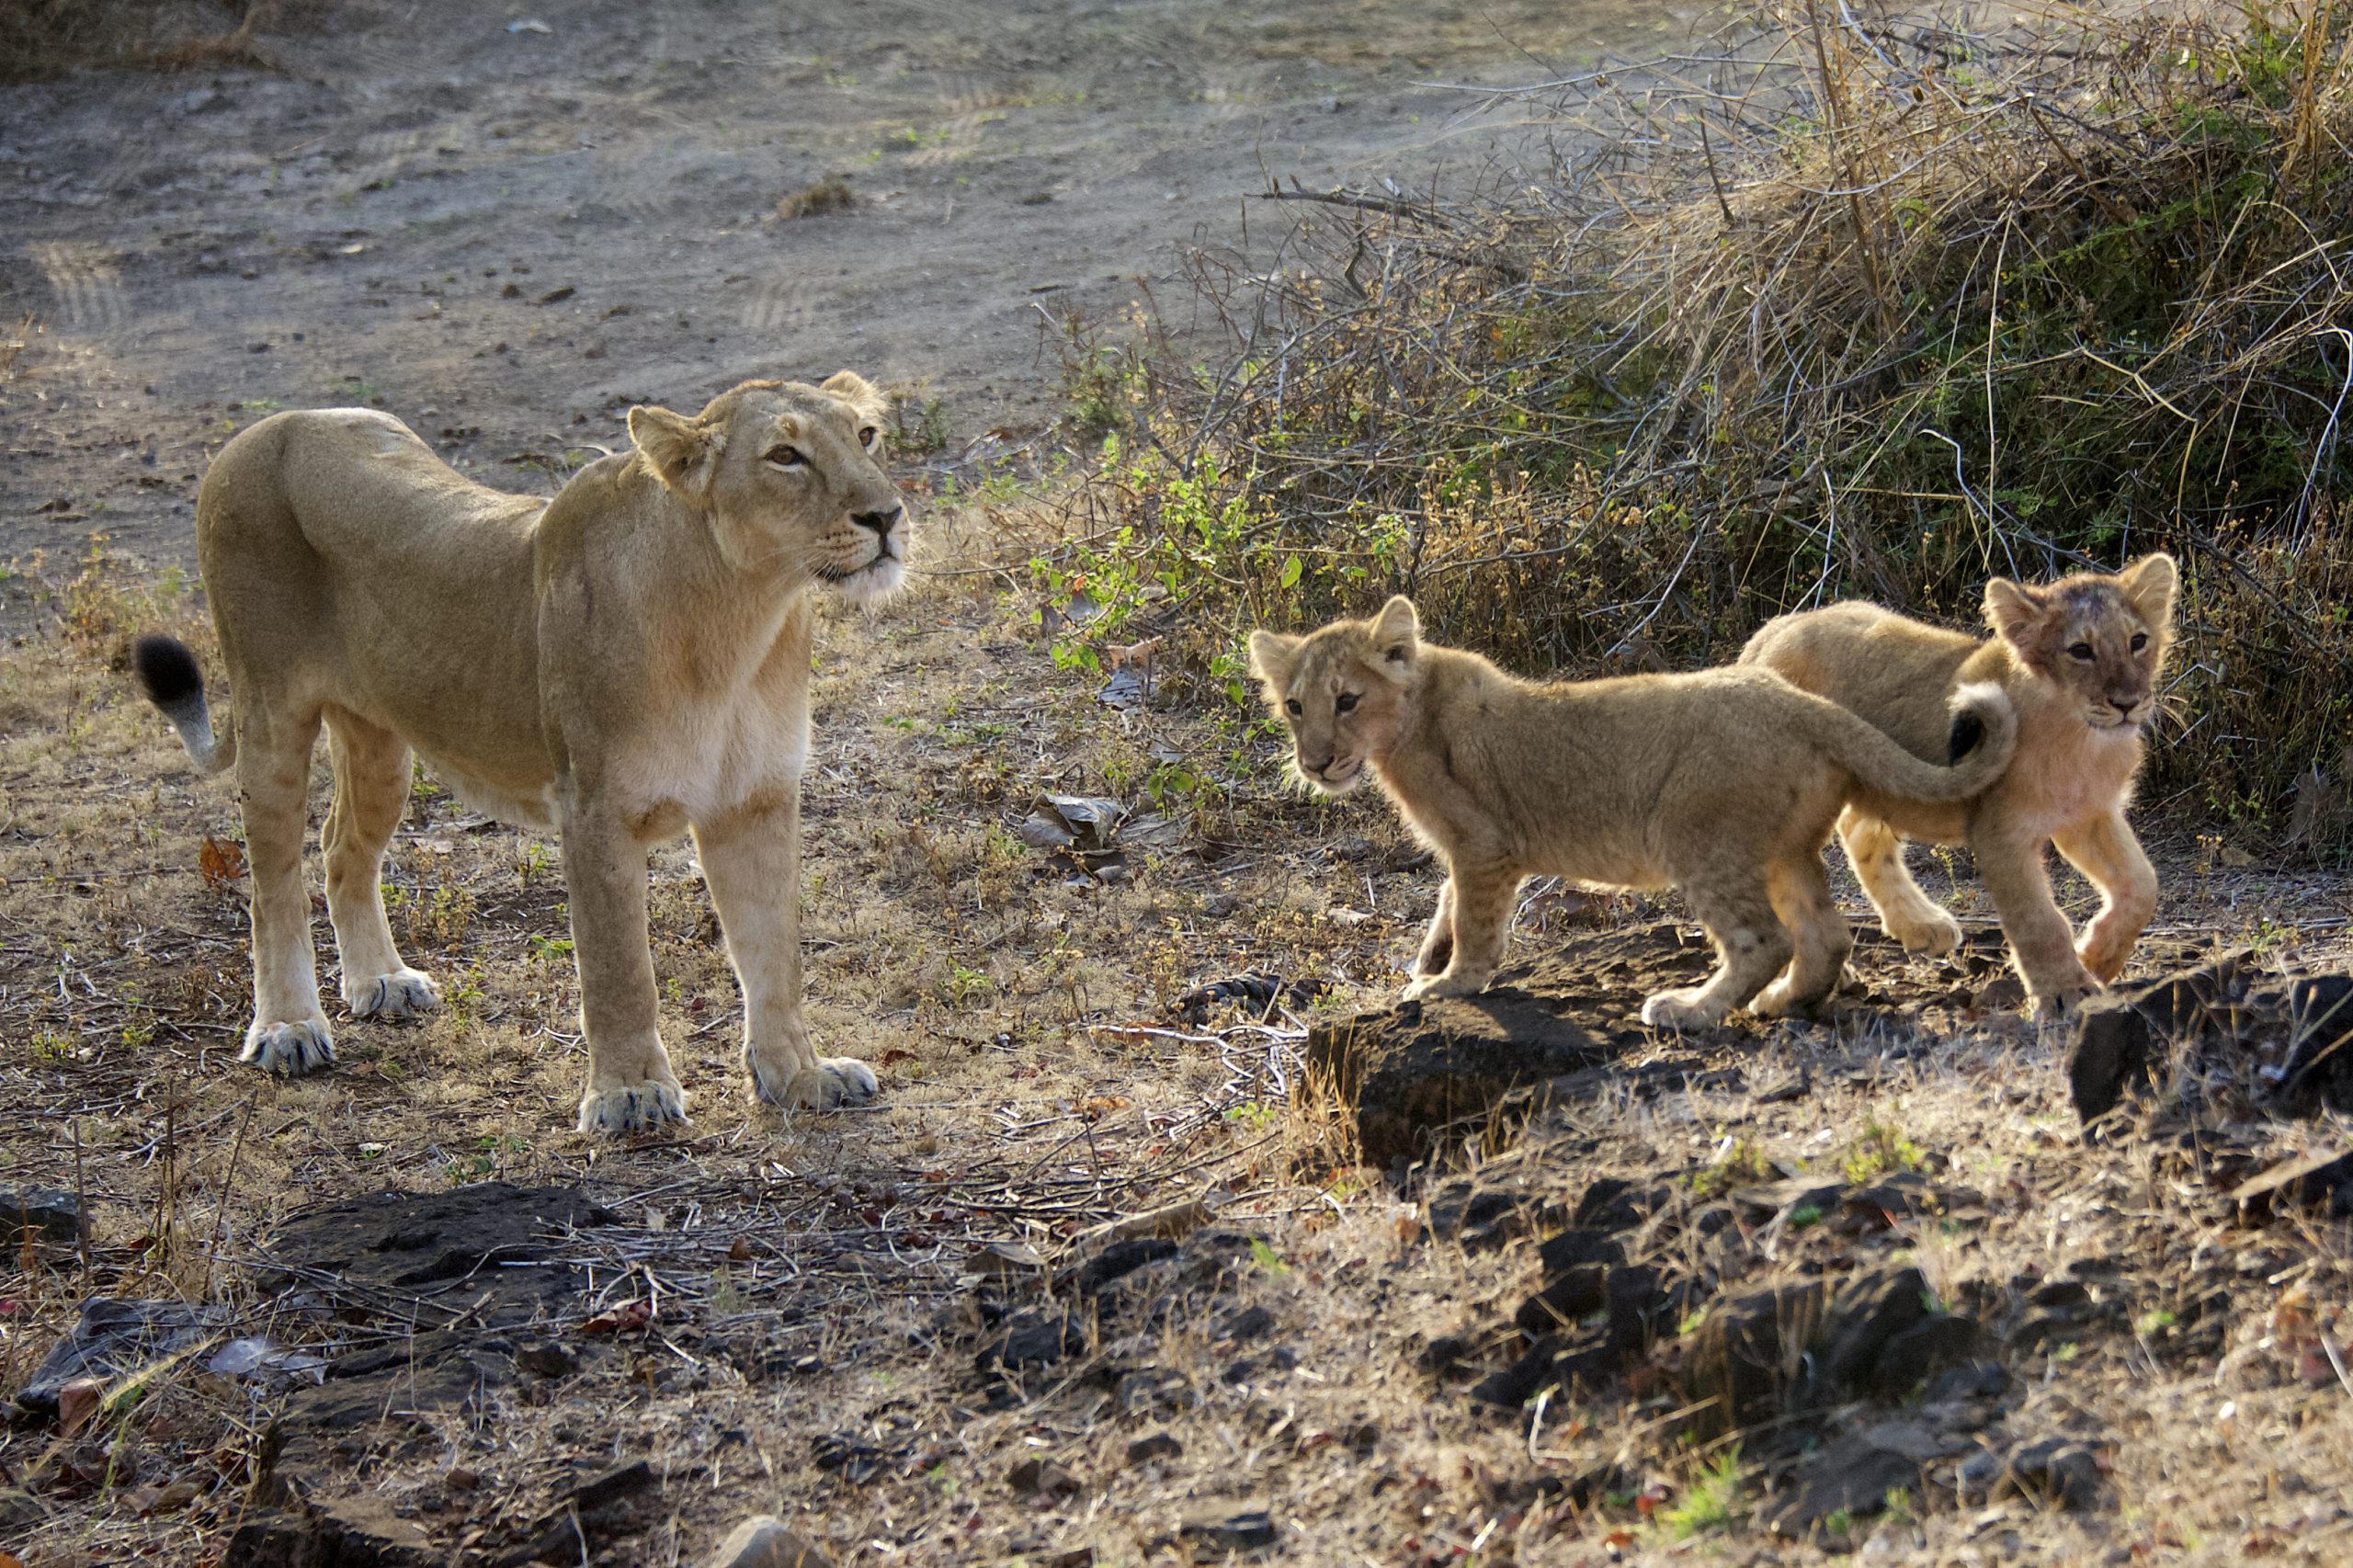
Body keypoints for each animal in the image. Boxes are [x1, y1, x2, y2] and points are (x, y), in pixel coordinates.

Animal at [132, 374, 908, 1134]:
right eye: (785, 456)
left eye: (866, 435)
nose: (888, 515)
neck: (741, 616)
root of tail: (273, 424)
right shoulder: (594, 808)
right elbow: (619, 969)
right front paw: (630, 1094)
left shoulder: (754, 799)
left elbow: (775, 956)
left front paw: (800, 1075)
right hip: (270, 713)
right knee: (272, 885)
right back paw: (289, 1027)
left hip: (381, 742)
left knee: (340, 845)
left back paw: (382, 982)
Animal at [1247, 597, 2017, 1027]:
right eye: (1294, 706)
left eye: (1348, 701)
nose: (1316, 763)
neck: (1408, 718)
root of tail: (1804, 706)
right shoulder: (1474, 851)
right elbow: (1446, 899)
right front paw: (1429, 958)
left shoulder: (1485, 844)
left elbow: (1474, 921)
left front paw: (1449, 982)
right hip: (1782, 849)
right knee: (1823, 937)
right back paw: (1783, 1003)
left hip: (1698, 835)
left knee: (1763, 941)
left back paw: (1691, 1011)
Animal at [1740, 554, 2177, 1014]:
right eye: (2080, 651)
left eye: (2138, 641)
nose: (2127, 704)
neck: (2083, 739)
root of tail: (1773, 629)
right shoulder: (2001, 834)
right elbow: (2038, 920)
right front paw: (2066, 990)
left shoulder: (2088, 815)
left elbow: (2143, 885)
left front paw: (2098, 956)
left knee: (1861, 834)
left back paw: (1920, 925)